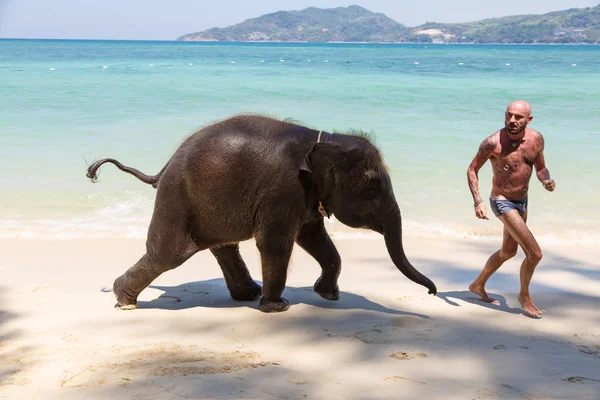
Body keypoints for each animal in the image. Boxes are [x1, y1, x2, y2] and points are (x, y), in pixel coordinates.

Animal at [85, 114, 436, 310]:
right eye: (372, 192)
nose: (433, 293)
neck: (324, 140)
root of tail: (163, 168)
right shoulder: (284, 189)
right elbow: (276, 242)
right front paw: (278, 307)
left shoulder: (305, 197)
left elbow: (314, 238)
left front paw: (328, 296)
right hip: (177, 198)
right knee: (168, 254)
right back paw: (125, 302)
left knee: (223, 247)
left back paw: (248, 295)